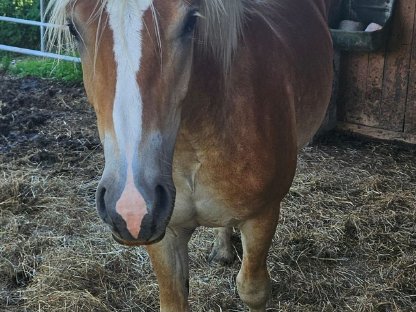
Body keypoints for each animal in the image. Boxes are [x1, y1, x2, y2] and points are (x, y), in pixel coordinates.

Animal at [47, 1, 334, 310]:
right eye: (73, 27)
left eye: (189, 23)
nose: (131, 208)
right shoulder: (164, 234)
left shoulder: (263, 216)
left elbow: (253, 290)